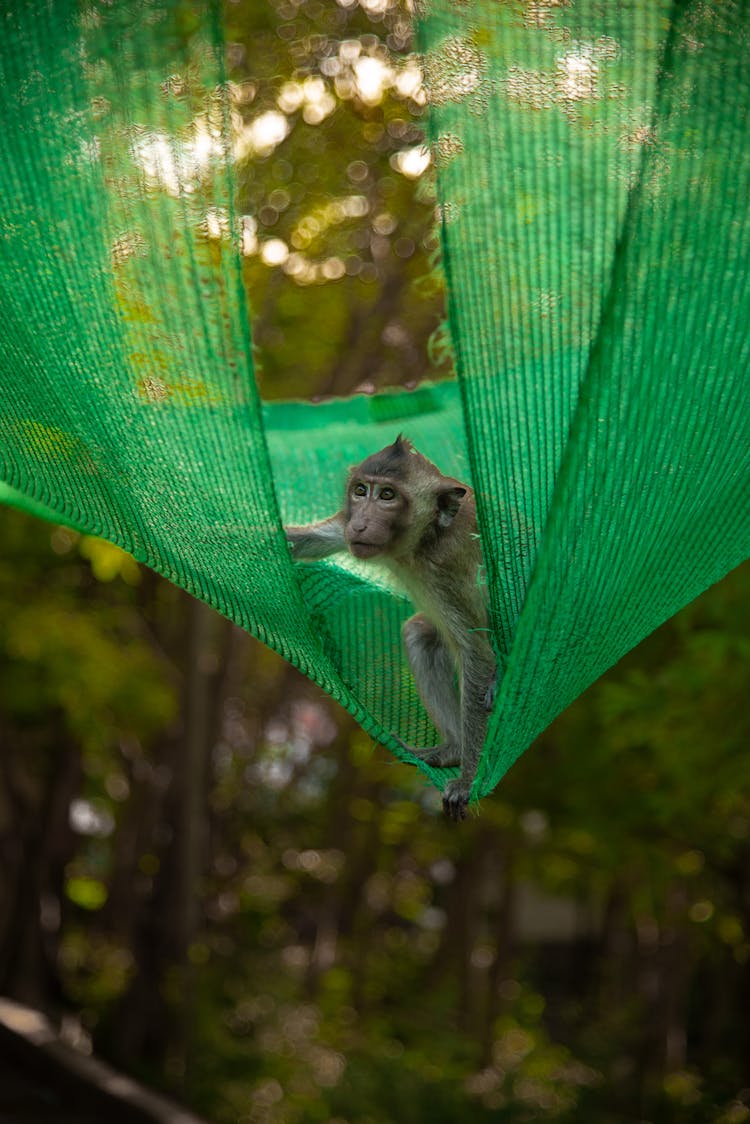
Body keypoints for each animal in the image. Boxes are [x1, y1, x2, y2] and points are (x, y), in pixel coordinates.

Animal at [284, 433, 494, 822]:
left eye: (387, 496)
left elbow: (477, 652)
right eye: (360, 491)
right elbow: (307, 540)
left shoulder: (446, 569)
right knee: (420, 635)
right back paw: (452, 750)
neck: (422, 540)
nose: (361, 524)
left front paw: (469, 779)